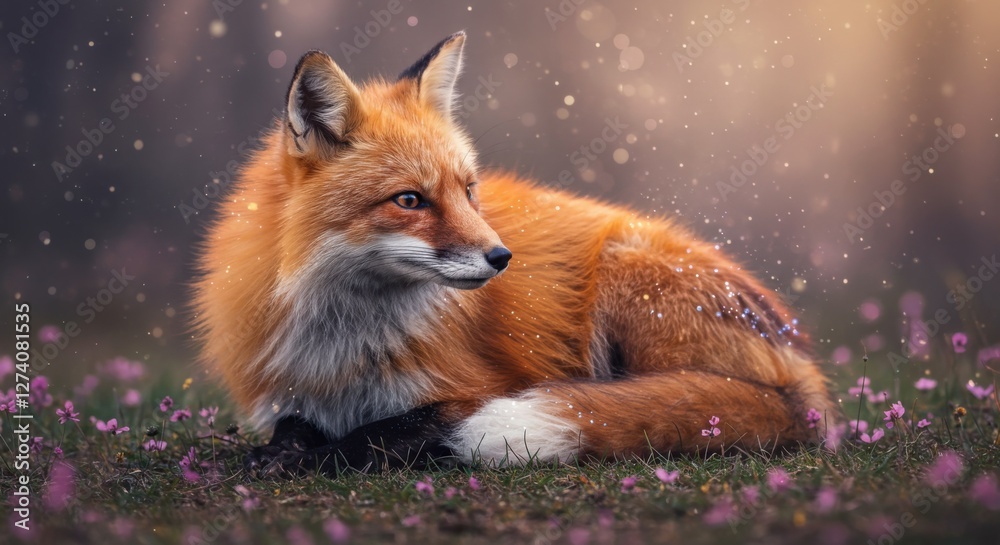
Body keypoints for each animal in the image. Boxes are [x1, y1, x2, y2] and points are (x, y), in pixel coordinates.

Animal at [193, 31, 840, 475]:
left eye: (468, 190)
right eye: (410, 200)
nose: (503, 258)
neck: (345, 344)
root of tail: (803, 369)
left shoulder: (478, 389)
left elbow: (393, 430)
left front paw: (324, 457)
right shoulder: (291, 393)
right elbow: (291, 427)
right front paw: (280, 454)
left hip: (623, 275)